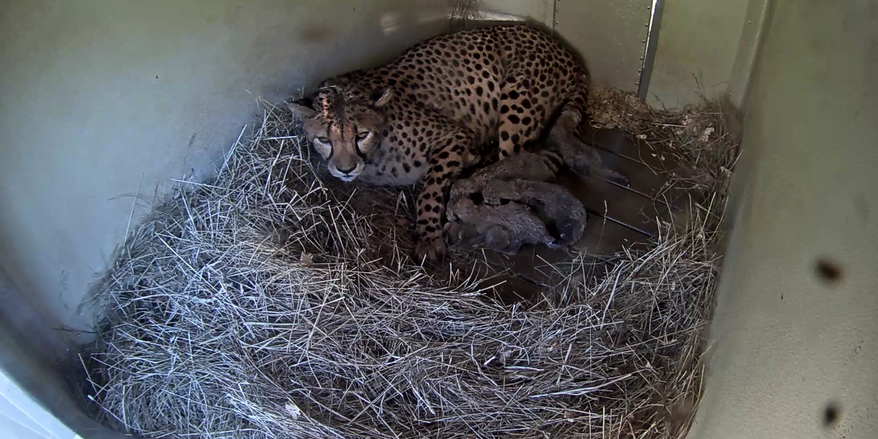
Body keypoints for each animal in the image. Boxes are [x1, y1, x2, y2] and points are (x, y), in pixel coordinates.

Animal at [288, 23, 608, 263]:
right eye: (324, 139)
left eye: (360, 135)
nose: (345, 169)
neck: (376, 154)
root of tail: (566, 51)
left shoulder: (453, 135)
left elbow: (429, 190)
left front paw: (429, 237)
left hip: (516, 99)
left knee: (512, 163)